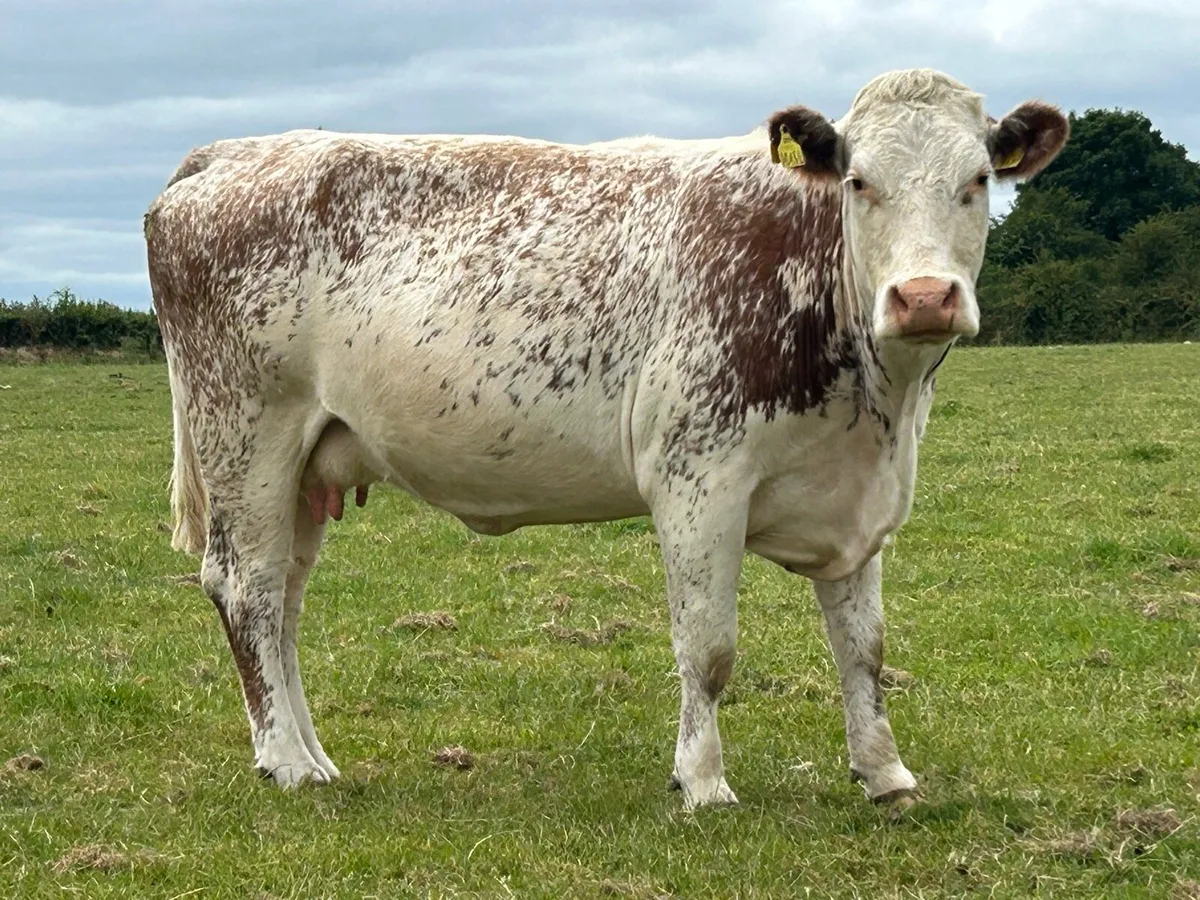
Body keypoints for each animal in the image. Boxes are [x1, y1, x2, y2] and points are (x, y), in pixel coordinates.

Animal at [144, 68, 1068, 812]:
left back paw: (312, 753)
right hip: (246, 436)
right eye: (859, 181)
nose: (924, 296)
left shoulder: (854, 495)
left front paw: (885, 774)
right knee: (247, 589)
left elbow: (864, 649)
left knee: (286, 600)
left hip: (307, 464)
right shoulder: (698, 479)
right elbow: (709, 647)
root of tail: (233, 151)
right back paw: (287, 762)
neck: (877, 401)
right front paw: (702, 781)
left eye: (978, 180)